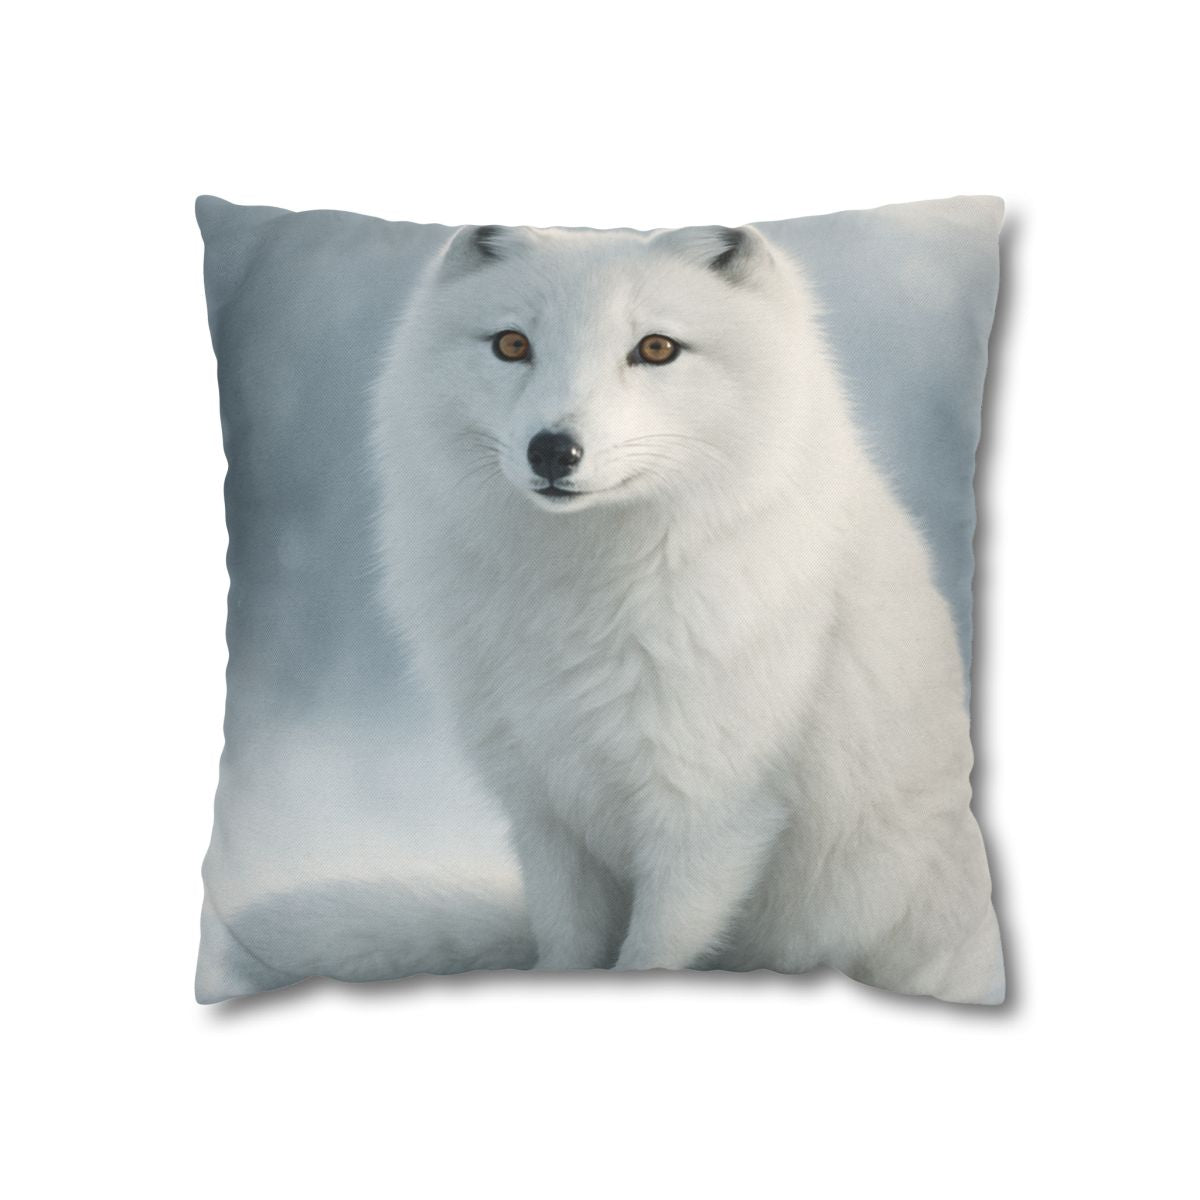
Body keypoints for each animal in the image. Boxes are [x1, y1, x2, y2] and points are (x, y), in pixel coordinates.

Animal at [369, 222, 1004, 1004]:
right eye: (512, 344)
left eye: (656, 348)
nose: (553, 450)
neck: (581, 590)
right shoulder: (544, 806)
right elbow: (568, 943)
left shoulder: (709, 811)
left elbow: (654, 951)